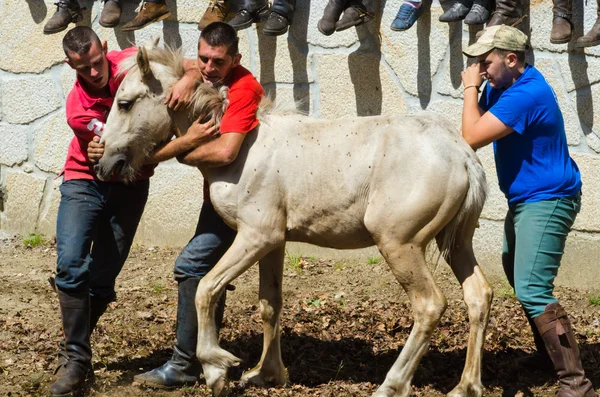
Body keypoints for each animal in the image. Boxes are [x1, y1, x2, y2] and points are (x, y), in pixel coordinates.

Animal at [97, 44, 492, 396]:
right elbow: (270, 303)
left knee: (429, 305)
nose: (106, 165)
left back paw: (391, 385)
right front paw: (267, 374)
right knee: (478, 295)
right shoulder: (275, 243)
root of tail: (462, 155)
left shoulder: (256, 237)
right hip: (456, 243)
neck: (241, 148)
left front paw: (217, 369)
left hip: (400, 244)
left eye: (124, 103)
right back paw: (466, 386)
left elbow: (207, 289)